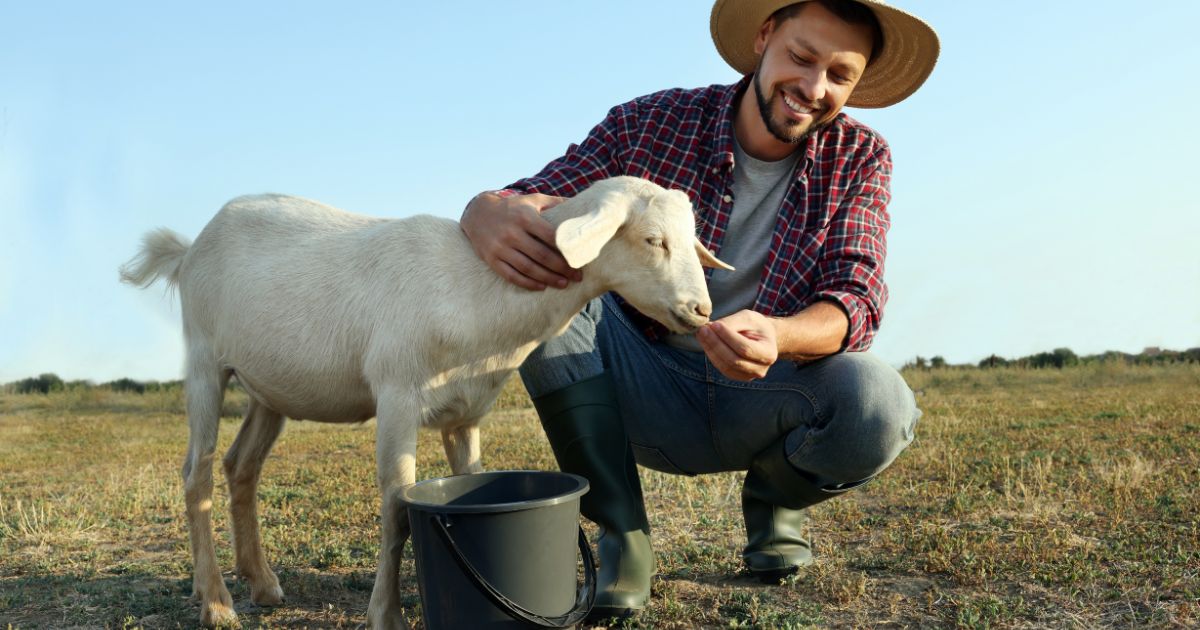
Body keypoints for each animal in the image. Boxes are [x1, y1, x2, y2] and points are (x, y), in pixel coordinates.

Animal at [119, 175, 729, 628]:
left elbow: (472, 483)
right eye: (652, 240)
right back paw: (216, 603)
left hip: (270, 387)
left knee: (239, 466)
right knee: (196, 474)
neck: (477, 290)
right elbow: (397, 511)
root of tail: (189, 249)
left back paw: (262, 584)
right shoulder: (396, 397)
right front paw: (384, 616)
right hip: (204, 360)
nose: (700, 310)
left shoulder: (466, 415)